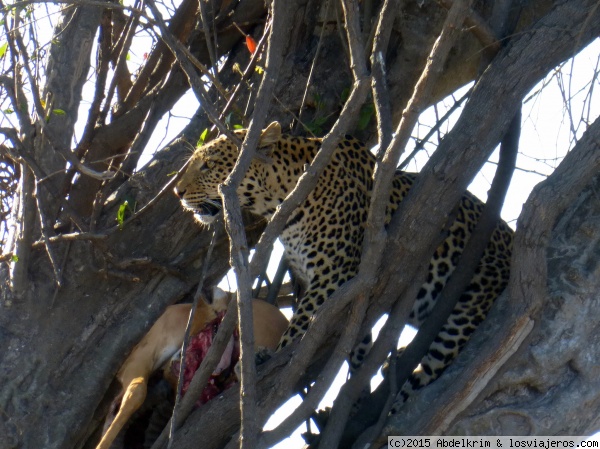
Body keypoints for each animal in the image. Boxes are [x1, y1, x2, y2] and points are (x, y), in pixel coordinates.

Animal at [172, 121, 510, 408]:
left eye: (208, 165)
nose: (177, 192)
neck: (282, 200)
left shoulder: (332, 276)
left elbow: (300, 328)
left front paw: (267, 358)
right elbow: (356, 343)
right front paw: (357, 389)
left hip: (467, 310)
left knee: (426, 375)